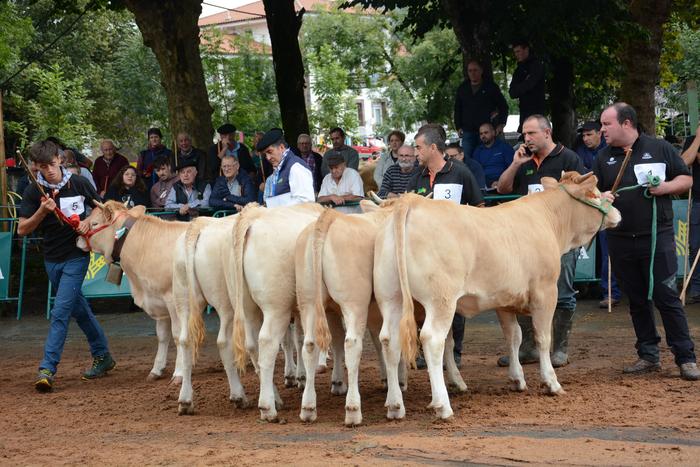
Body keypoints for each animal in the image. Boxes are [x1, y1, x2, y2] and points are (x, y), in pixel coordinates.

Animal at [374, 173, 620, 420]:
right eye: (595, 194)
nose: (617, 212)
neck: (546, 218)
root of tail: (412, 202)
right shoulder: (546, 291)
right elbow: (543, 337)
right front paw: (551, 382)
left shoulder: (504, 300)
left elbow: (514, 336)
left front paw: (517, 379)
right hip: (440, 300)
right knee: (432, 340)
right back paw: (443, 406)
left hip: (391, 297)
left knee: (389, 340)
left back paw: (395, 405)